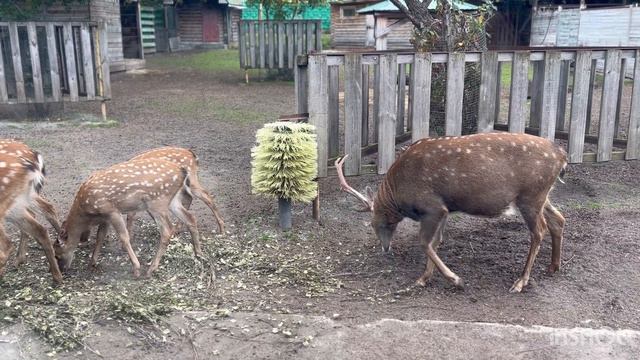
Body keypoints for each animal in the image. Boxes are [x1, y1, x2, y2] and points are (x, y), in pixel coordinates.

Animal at [54, 157, 200, 276]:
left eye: (58, 254)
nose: (63, 270)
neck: (86, 211)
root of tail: (182, 171)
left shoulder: (111, 210)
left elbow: (124, 237)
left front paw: (136, 268)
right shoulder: (105, 216)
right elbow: (100, 237)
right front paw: (92, 263)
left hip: (157, 202)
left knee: (167, 231)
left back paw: (150, 269)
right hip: (172, 200)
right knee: (190, 218)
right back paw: (198, 254)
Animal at [336, 132, 564, 292]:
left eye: (377, 223)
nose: (385, 248)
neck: (399, 194)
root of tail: (561, 156)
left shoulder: (432, 207)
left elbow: (425, 243)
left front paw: (455, 280)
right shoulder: (444, 210)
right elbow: (435, 242)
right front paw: (424, 279)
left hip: (531, 196)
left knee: (539, 231)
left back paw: (520, 281)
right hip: (541, 196)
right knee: (558, 219)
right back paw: (553, 266)